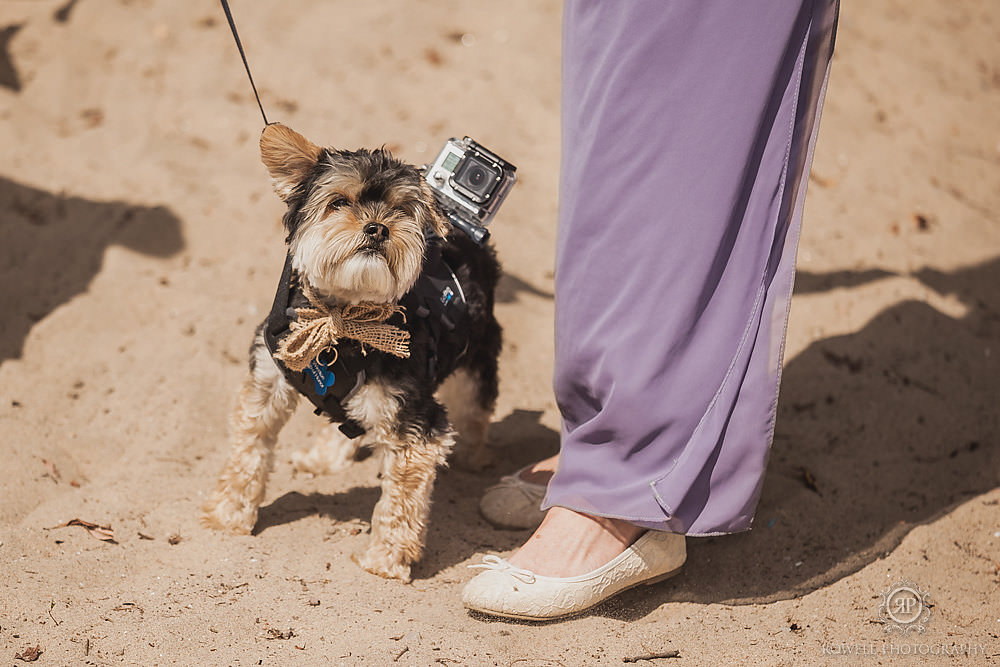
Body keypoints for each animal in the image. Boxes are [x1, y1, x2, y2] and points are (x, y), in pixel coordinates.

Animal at [201, 122, 500, 580]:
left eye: (400, 210)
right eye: (339, 202)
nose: (378, 228)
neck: (342, 319)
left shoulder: (416, 423)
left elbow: (401, 502)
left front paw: (386, 560)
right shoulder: (268, 380)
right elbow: (248, 449)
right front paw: (229, 512)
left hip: (480, 350)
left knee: (476, 403)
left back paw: (473, 455)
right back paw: (325, 456)